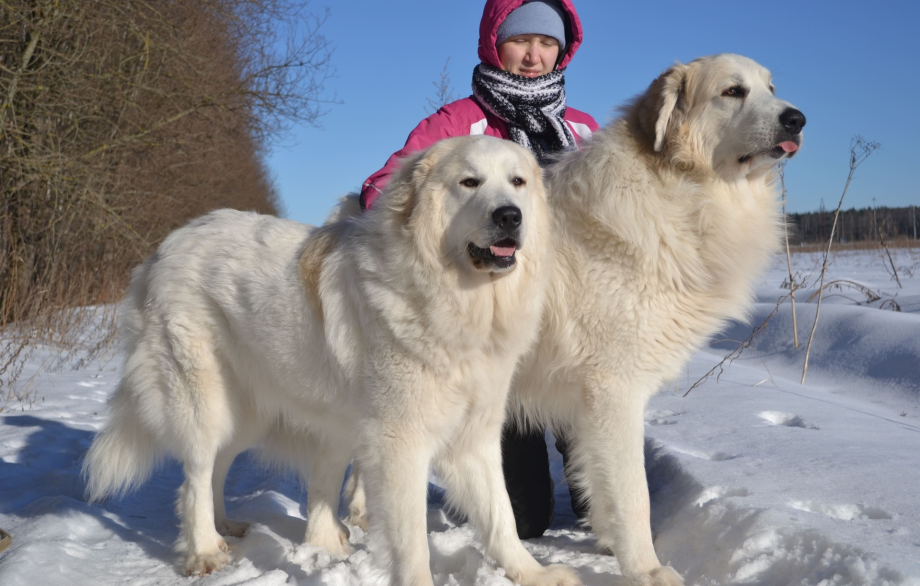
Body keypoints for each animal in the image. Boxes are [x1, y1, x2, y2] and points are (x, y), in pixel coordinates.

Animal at [84, 133, 576, 584]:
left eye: (518, 182)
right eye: (469, 182)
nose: (509, 215)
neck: (459, 301)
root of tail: (167, 246)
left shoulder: (474, 437)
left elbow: (501, 517)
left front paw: (535, 574)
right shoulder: (400, 445)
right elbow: (412, 541)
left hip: (246, 413)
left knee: (216, 469)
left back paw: (226, 527)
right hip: (203, 402)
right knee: (196, 475)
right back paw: (204, 550)